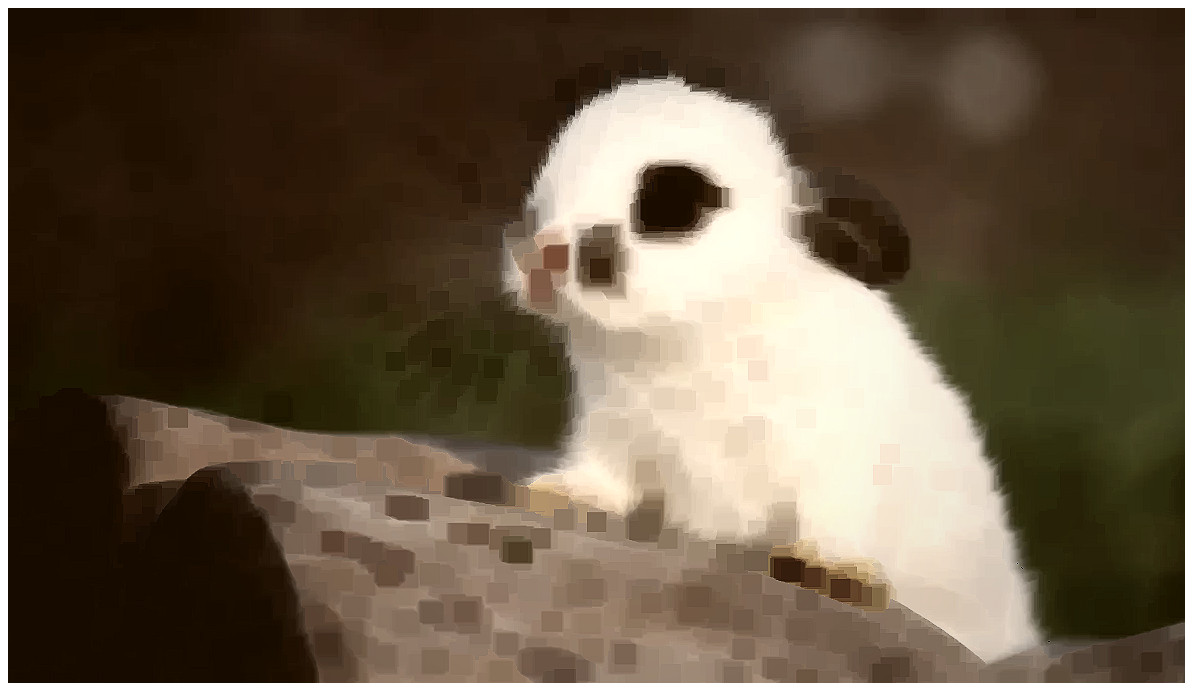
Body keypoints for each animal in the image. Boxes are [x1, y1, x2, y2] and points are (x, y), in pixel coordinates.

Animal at [502, 75, 1041, 663]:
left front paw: (835, 573)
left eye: (675, 205)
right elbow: (604, 472)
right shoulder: (610, 426)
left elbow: (834, 512)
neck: (691, 339)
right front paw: (565, 494)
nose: (540, 259)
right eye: (541, 201)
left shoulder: (835, 450)